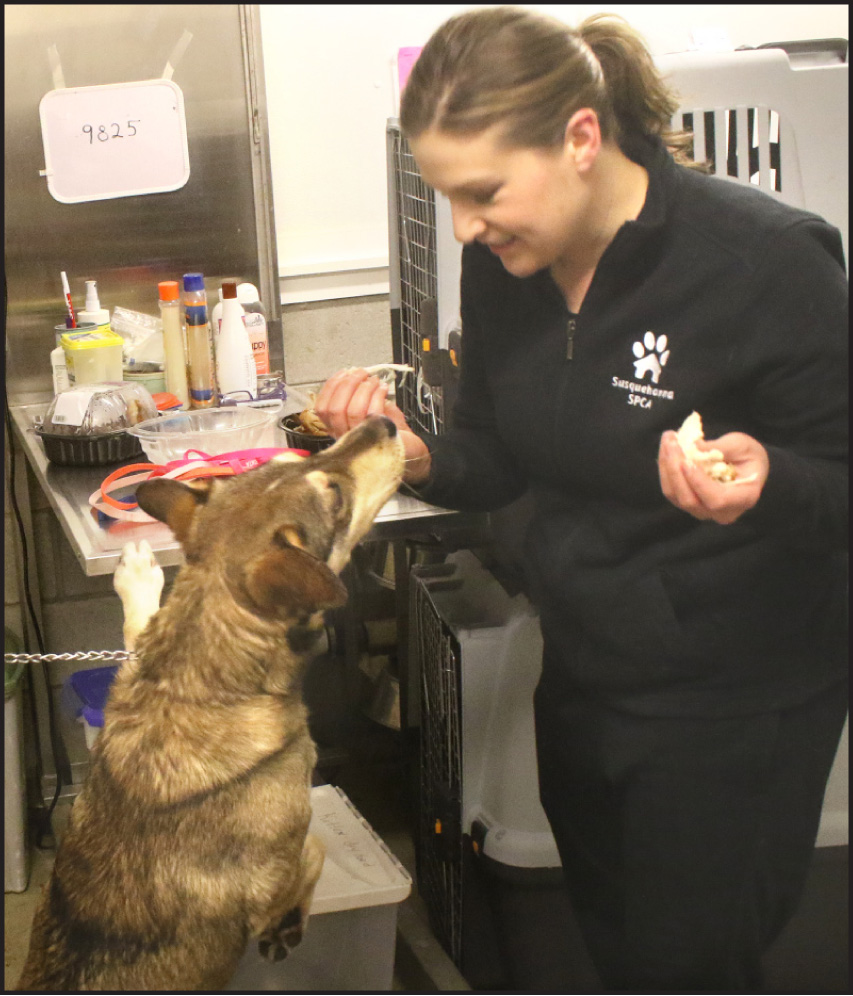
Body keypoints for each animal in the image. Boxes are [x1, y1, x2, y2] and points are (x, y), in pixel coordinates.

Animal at [17, 415, 405, 991]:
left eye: (289, 460)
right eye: (335, 495)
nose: (384, 421)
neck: (200, 686)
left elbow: (137, 629)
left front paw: (138, 576)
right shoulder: (270, 882)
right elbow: (315, 849)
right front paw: (286, 930)